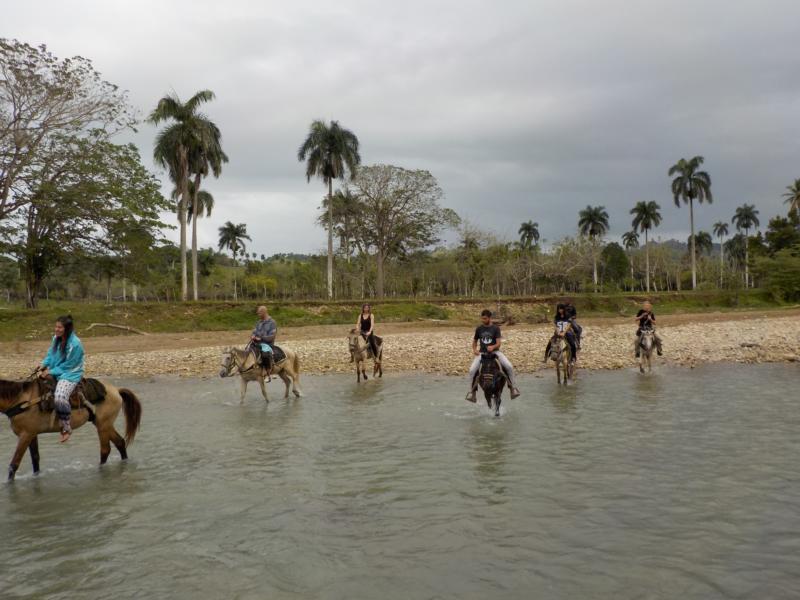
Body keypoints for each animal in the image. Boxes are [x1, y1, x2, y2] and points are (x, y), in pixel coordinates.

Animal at [0, 376, 142, 481]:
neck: (21, 400)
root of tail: (116, 390)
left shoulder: (25, 435)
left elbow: (14, 464)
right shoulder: (32, 434)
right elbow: (35, 459)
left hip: (103, 426)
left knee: (105, 450)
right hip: (104, 424)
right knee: (120, 443)